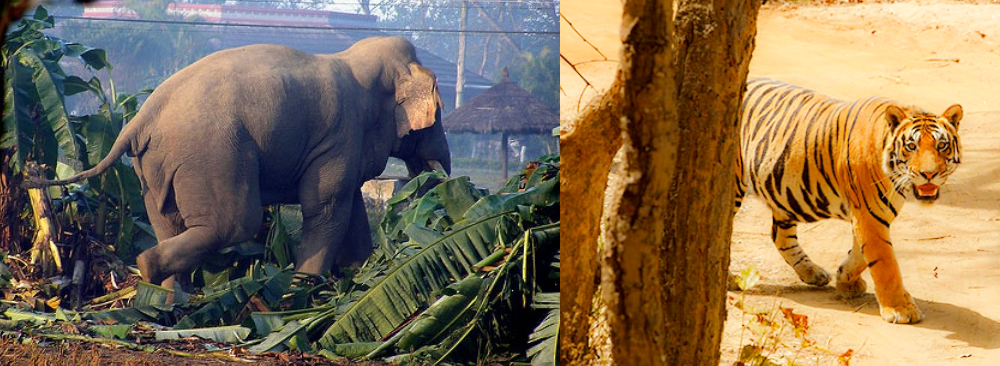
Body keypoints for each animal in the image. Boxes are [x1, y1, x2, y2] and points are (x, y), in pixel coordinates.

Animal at [30, 37, 454, 288]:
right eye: (438, 111)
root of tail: (139, 119)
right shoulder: (339, 134)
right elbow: (327, 206)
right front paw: (305, 288)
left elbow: (349, 206)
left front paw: (358, 276)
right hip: (212, 154)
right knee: (235, 221)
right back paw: (150, 268)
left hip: (153, 168)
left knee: (167, 220)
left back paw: (167, 297)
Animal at [736, 78, 960, 324]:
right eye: (911, 146)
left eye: (941, 145)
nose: (928, 174)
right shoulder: (869, 216)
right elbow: (886, 263)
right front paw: (900, 309)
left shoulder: (872, 214)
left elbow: (861, 255)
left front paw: (846, 281)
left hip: (784, 198)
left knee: (780, 236)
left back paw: (813, 273)